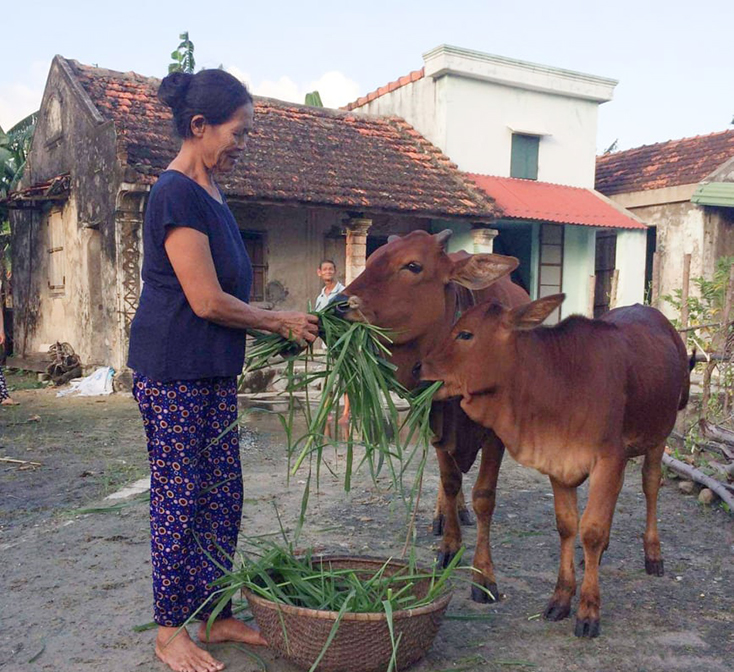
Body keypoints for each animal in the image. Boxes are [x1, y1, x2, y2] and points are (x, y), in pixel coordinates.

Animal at [336, 228, 532, 600]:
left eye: (413, 265)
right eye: (371, 259)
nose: (339, 306)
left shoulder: (496, 434)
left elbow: (484, 496)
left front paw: (483, 573)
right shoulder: (435, 422)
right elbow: (450, 481)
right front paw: (450, 548)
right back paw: (445, 516)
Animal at [422, 294, 692, 636]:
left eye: (465, 334)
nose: (419, 367)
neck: (560, 381)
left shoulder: (609, 458)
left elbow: (591, 530)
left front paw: (588, 611)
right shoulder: (559, 462)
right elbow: (567, 526)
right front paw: (561, 599)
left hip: (659, 436)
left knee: (651, 485)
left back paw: (653, 554)